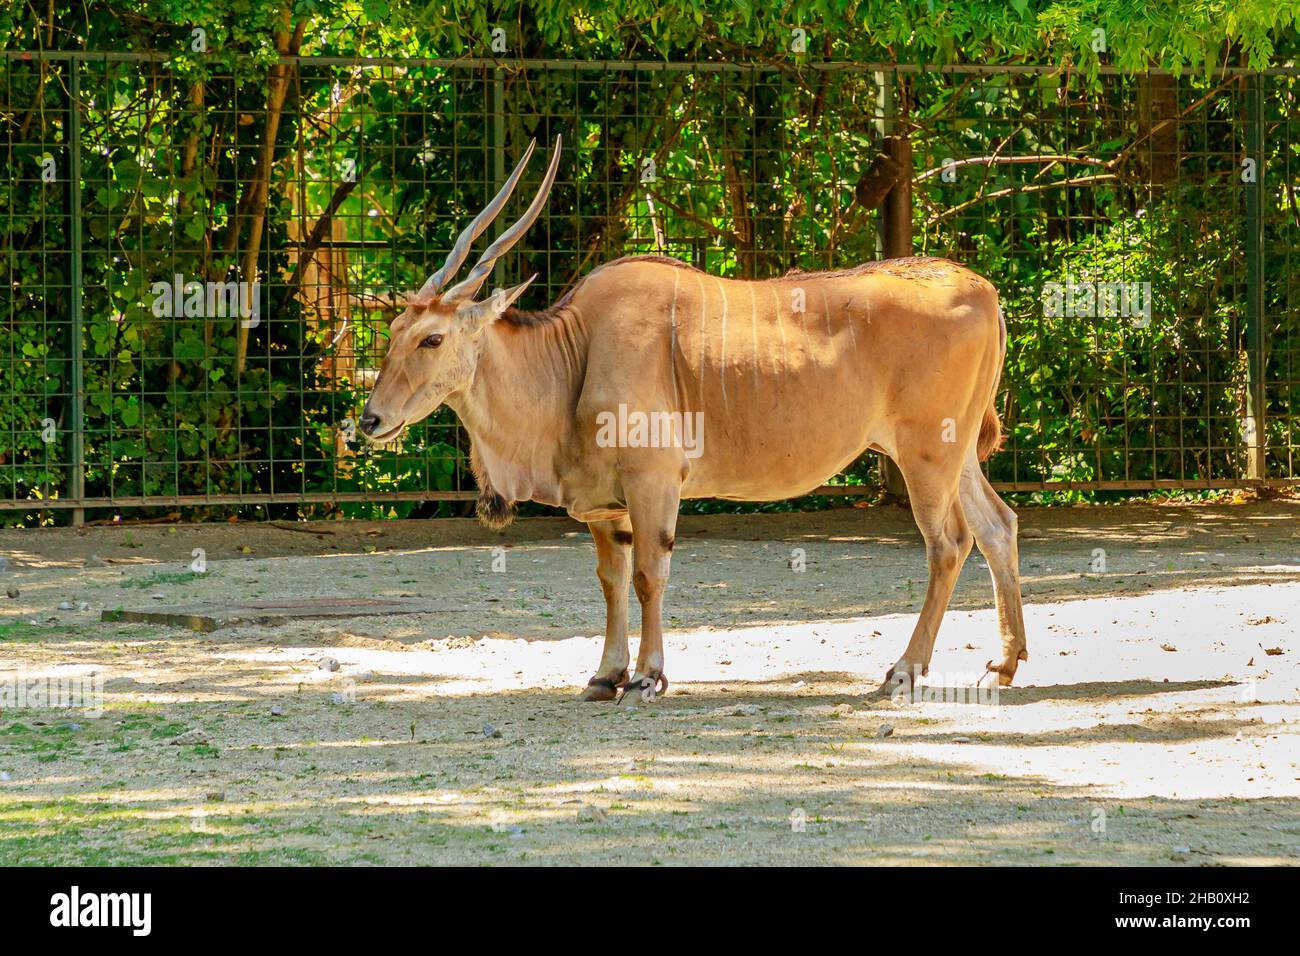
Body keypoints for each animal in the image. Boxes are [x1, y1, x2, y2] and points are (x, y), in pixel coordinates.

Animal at [356, 136, 1024, 702]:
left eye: (432, 338)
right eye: (394, 331)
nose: (369, 420)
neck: (577, 350)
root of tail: (983, 290)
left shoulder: (653, 484)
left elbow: (649, 575)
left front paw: (646, 678)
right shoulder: (609, 509)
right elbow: (611, 579)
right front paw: (605, 675)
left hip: (925, 456)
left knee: (949, 543)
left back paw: (904, 670)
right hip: (955, 455)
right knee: (998, 526)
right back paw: (1005, 663)